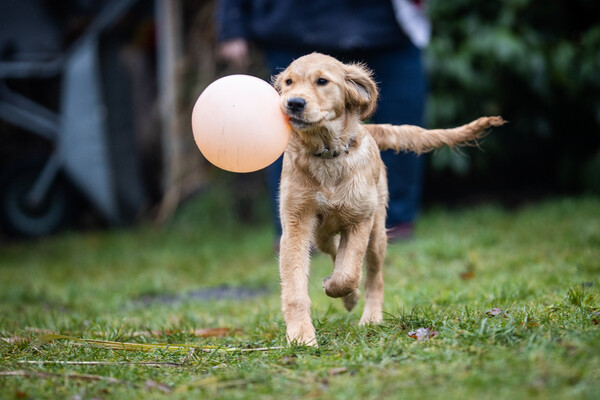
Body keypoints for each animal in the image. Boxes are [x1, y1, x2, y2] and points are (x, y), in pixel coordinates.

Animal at [274, 52, 504, 346]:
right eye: (288, 82)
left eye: (322, 81)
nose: (293, 103)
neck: (327, 154)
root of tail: (369, 130)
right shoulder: (296, 223)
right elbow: (295, 288)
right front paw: (301, 337)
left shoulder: (360, 220)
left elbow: (349, 273)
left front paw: (334, 288)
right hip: (321, 233)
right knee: (335, 249)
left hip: (377, 233)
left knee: (373, 276)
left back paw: (370, 317)